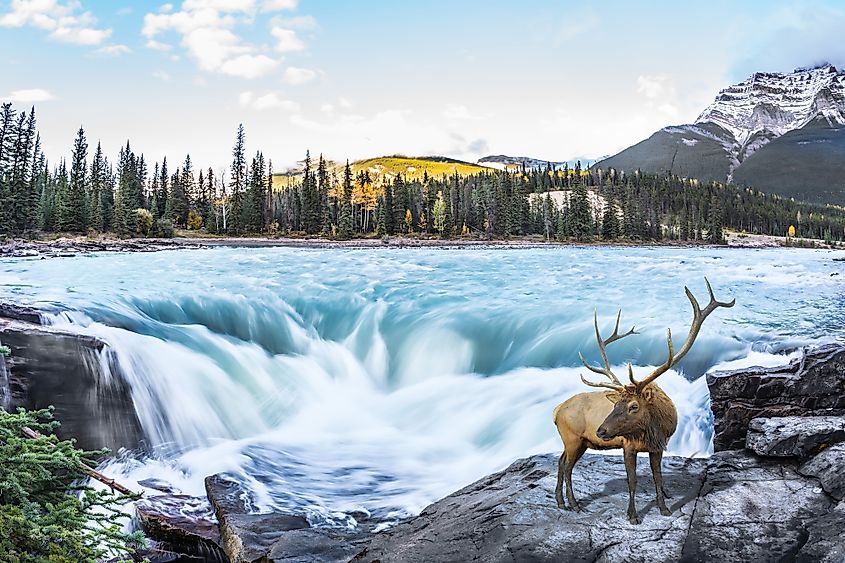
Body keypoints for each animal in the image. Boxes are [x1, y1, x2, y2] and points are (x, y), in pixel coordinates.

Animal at [552, 280, 732, 524]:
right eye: (615, 405)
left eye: (633, 406)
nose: (601, 430)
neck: (653, 428)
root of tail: (556, 411)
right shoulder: (628, 445)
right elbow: (633, 480)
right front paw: (633, 515)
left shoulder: (659, 446)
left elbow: (658, 477)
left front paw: (664, 508)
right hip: (573, 438)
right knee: (567, 466)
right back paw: (573, 504)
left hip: (578, 441)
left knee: (561, 462)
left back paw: (560, 501)